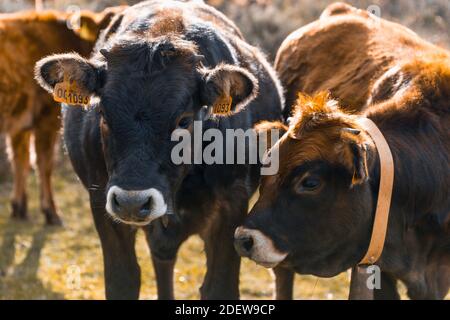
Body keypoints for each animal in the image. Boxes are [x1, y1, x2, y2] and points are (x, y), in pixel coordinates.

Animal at [0, 5, 125, 225]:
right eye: (111, 31)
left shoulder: (20, 122)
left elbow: (20, 160)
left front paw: (18, 207)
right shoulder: (45, 119)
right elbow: (44, 164)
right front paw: (51, 211)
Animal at [34, 0, 282, 300]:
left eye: (184, 120)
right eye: (103, 114)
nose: (132, 202)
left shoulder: (231, 205)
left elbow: (218, 287)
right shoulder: (102, 203)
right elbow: (123, 280)